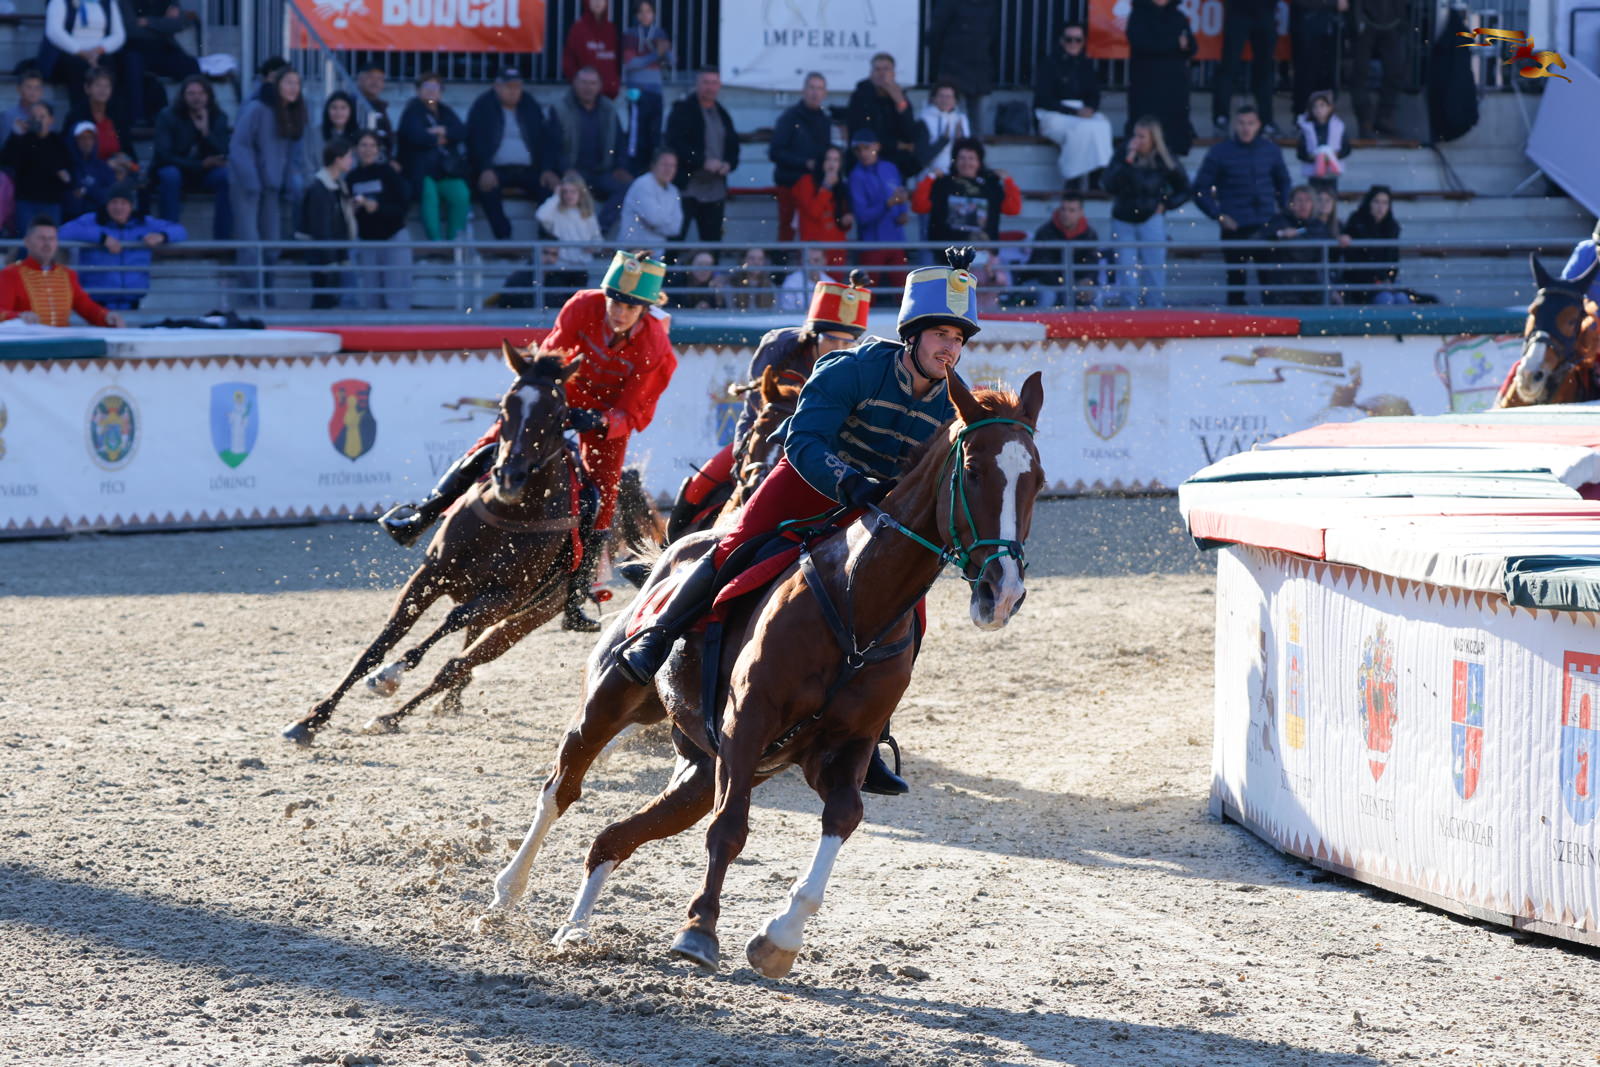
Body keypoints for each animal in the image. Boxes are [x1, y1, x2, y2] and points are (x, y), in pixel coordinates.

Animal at [282, 342, 655, 744]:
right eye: (506, 405)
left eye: (558, 415)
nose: (509, 476)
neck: (513, 513)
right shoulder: (429, 574)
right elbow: (379, 643)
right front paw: (312, 719)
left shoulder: (500, 596)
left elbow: (450, 620)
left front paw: (390, 674)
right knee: (458, 666)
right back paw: (444, 703)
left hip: (519, 621)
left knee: (455, 665)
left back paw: (394, 716)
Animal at [476, 370, 1046, 979]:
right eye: (975, 470)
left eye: (1036, 480)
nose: (1002, 593)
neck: (856, 600)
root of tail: (669, 557)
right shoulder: (748, 723)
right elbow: (729, 829)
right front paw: (699, 933)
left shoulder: (844, 747)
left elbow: (844, 815)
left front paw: (780, 938)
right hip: (611, 703)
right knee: (561, 789)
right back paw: (505, 896)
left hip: (700, 771)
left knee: (612, 838)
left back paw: (574, 931)